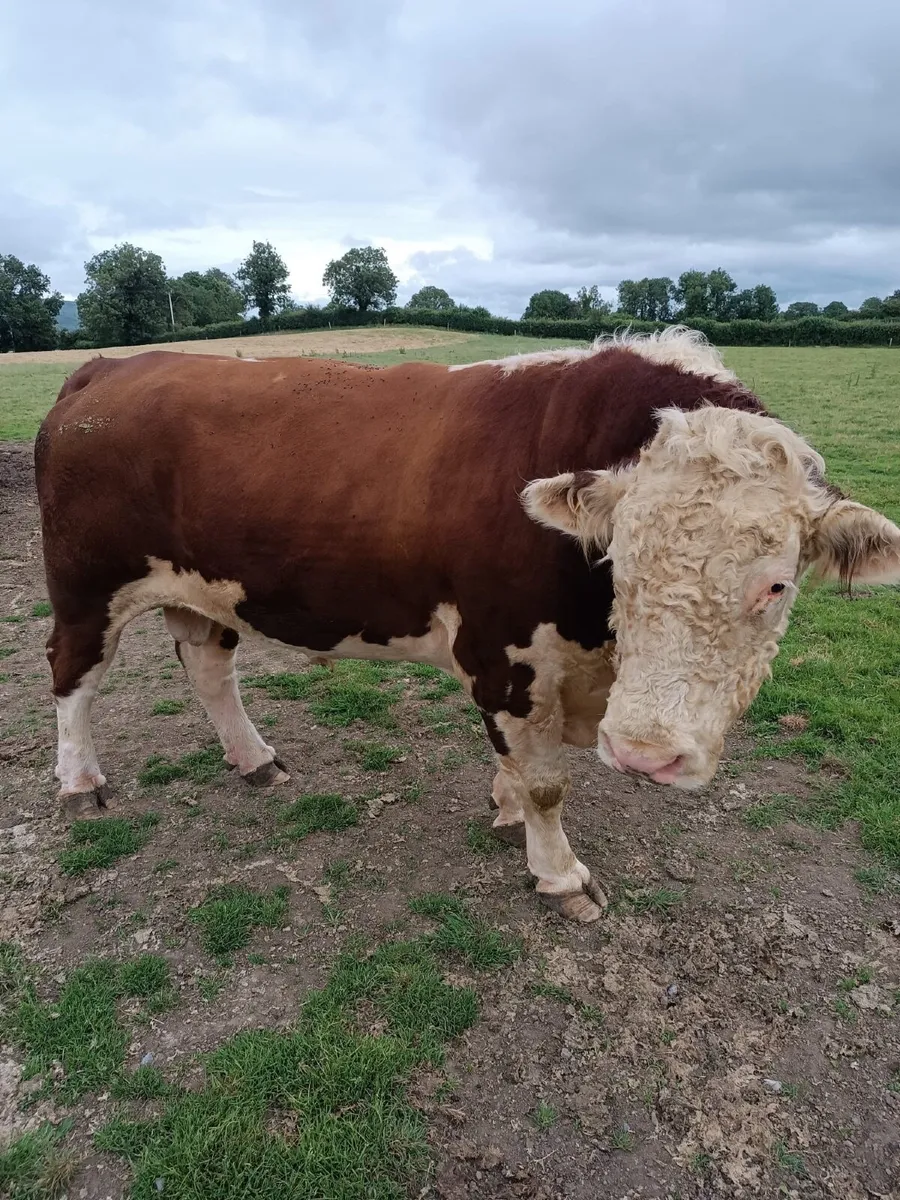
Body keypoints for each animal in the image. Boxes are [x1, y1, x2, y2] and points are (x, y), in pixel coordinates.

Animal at [35, 328, 900, 922]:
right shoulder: (503, 657)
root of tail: (113, 366)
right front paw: (558, 873)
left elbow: (520, 772)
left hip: (203, 589)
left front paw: (507, 808)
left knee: (210, 667)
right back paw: (80, 783)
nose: (645, 755)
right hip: (86, 585)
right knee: (73, 674)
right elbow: (548, 782)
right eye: (619, 564)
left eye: (777, 585)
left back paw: (254, 761)